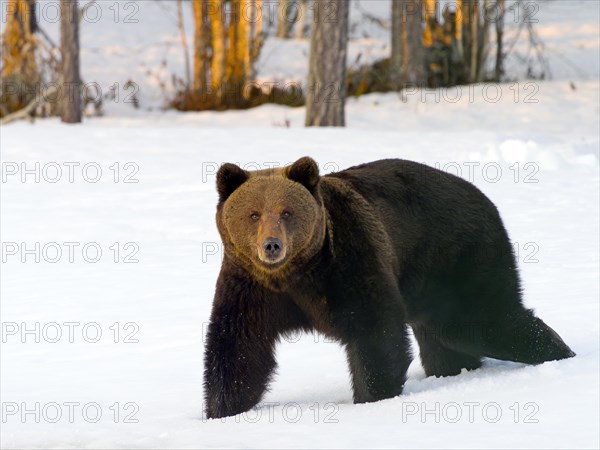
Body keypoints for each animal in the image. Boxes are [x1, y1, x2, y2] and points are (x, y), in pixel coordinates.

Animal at [204, 157, 576, 418]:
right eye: (253, 214)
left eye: (287, 212)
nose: (272, 245)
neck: (295, 274)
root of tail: (483, 196)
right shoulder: (250, 287)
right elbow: (238, 347)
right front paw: (222, 410)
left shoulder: (348, 263)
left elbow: (375, 331)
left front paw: (372, 397)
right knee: (445, 340)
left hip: (458, 257)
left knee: (485, 321)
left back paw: (559, 354)